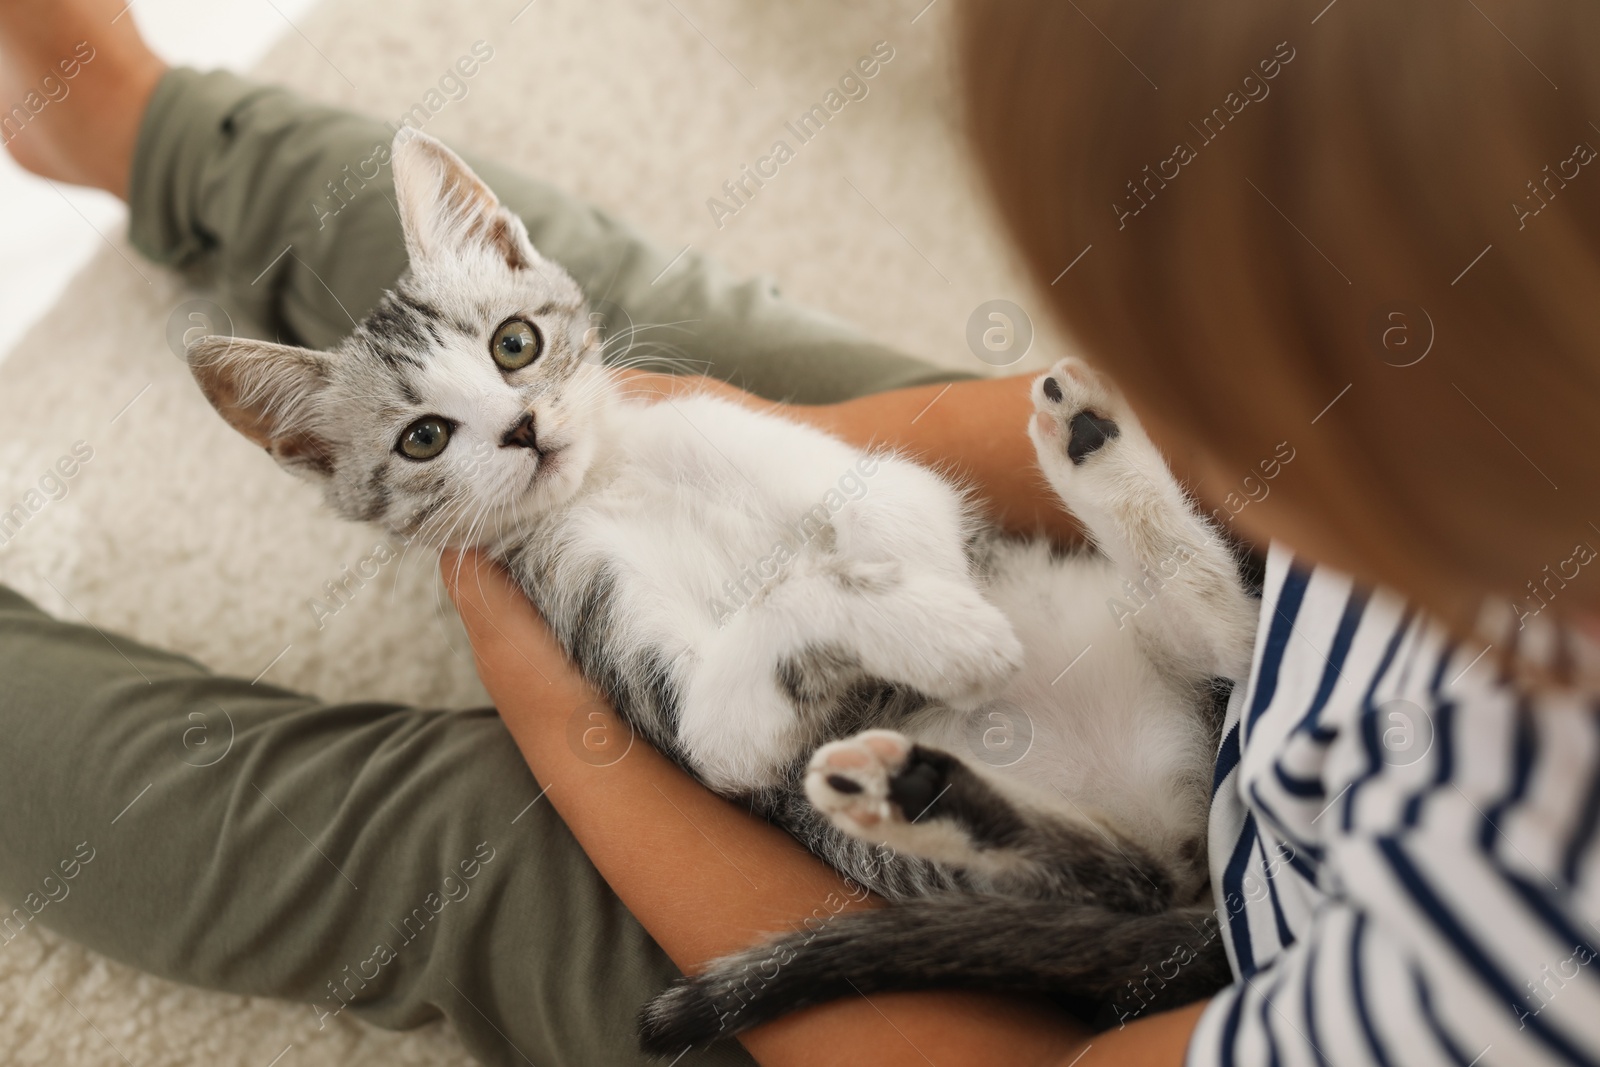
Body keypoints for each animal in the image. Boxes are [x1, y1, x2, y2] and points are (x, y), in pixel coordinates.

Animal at [187, 131, 1260, 1049]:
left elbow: (896, 506)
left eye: (514, 343)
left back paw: (1093, 451)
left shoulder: (816, 456)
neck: (618, 479)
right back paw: (917, 788)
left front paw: (925, 580)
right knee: (1112, 862)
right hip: (952, 861)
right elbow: (769, 635)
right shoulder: (663, 676)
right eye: (423, 438)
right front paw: (933, 629)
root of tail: (1186, 824)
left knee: (1230, 643)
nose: (522, 430)